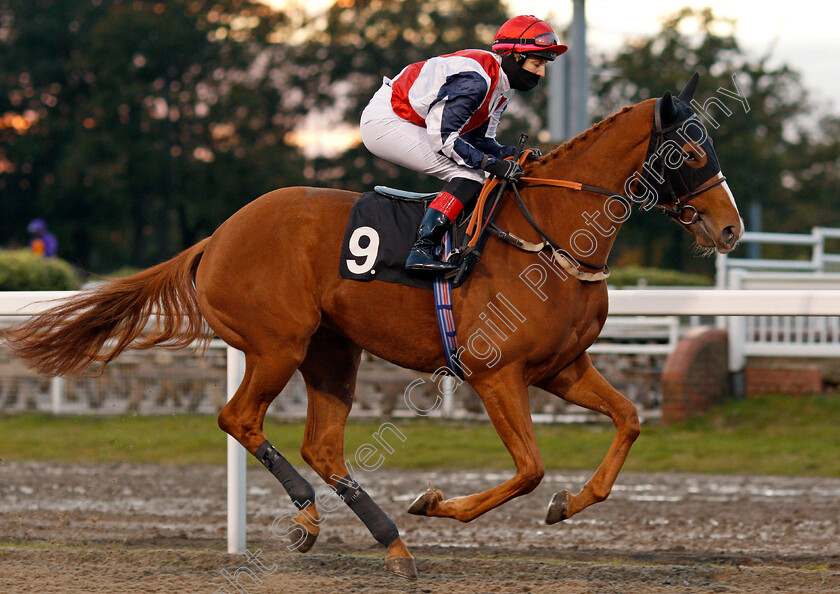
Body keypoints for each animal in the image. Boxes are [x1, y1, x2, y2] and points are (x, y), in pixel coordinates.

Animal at [6, 76, 740, 576]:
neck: (549, 237)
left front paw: (573, 501)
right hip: (278, 345)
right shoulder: (495, 373)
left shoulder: (563, 367)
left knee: (322, 446)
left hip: (333, 352)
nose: (729, 228)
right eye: (687, 150)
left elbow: (629, 420)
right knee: (239, 418)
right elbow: (529, 469)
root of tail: (216, 237)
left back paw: (390, 542)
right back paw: (319, 516)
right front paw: (436, 502)